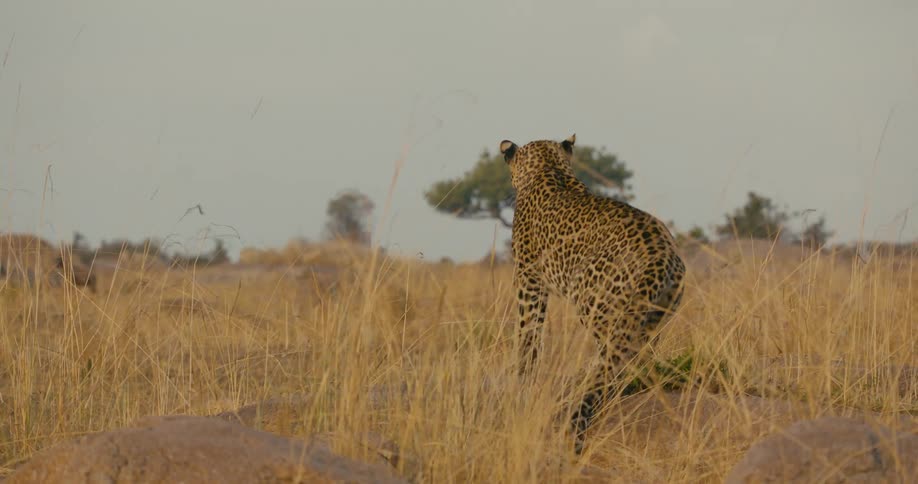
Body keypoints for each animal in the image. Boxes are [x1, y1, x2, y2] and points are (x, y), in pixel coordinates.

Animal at [500, 133, 686, 454]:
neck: (549, 167)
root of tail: (660, 256)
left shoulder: (528, 279)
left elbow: (528, 335)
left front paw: (522, 377)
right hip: (655, 315)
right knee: (635, 359)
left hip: (595, 305)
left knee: (612, 362)